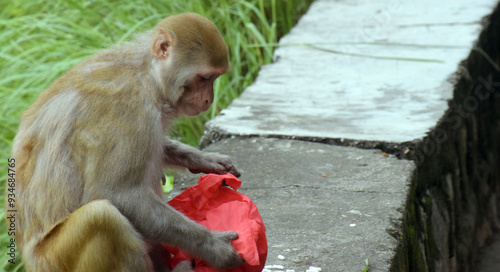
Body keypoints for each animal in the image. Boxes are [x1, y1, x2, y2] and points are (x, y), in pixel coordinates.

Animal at [10, 13, 245, 272]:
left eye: (214, 77)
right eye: (205, 77)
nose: (208, 100)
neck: (147, 76)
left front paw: (207, 160)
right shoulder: (129, 110)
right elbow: (117, 193)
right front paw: (216, 248)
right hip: (55, 259)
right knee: (102, 216)